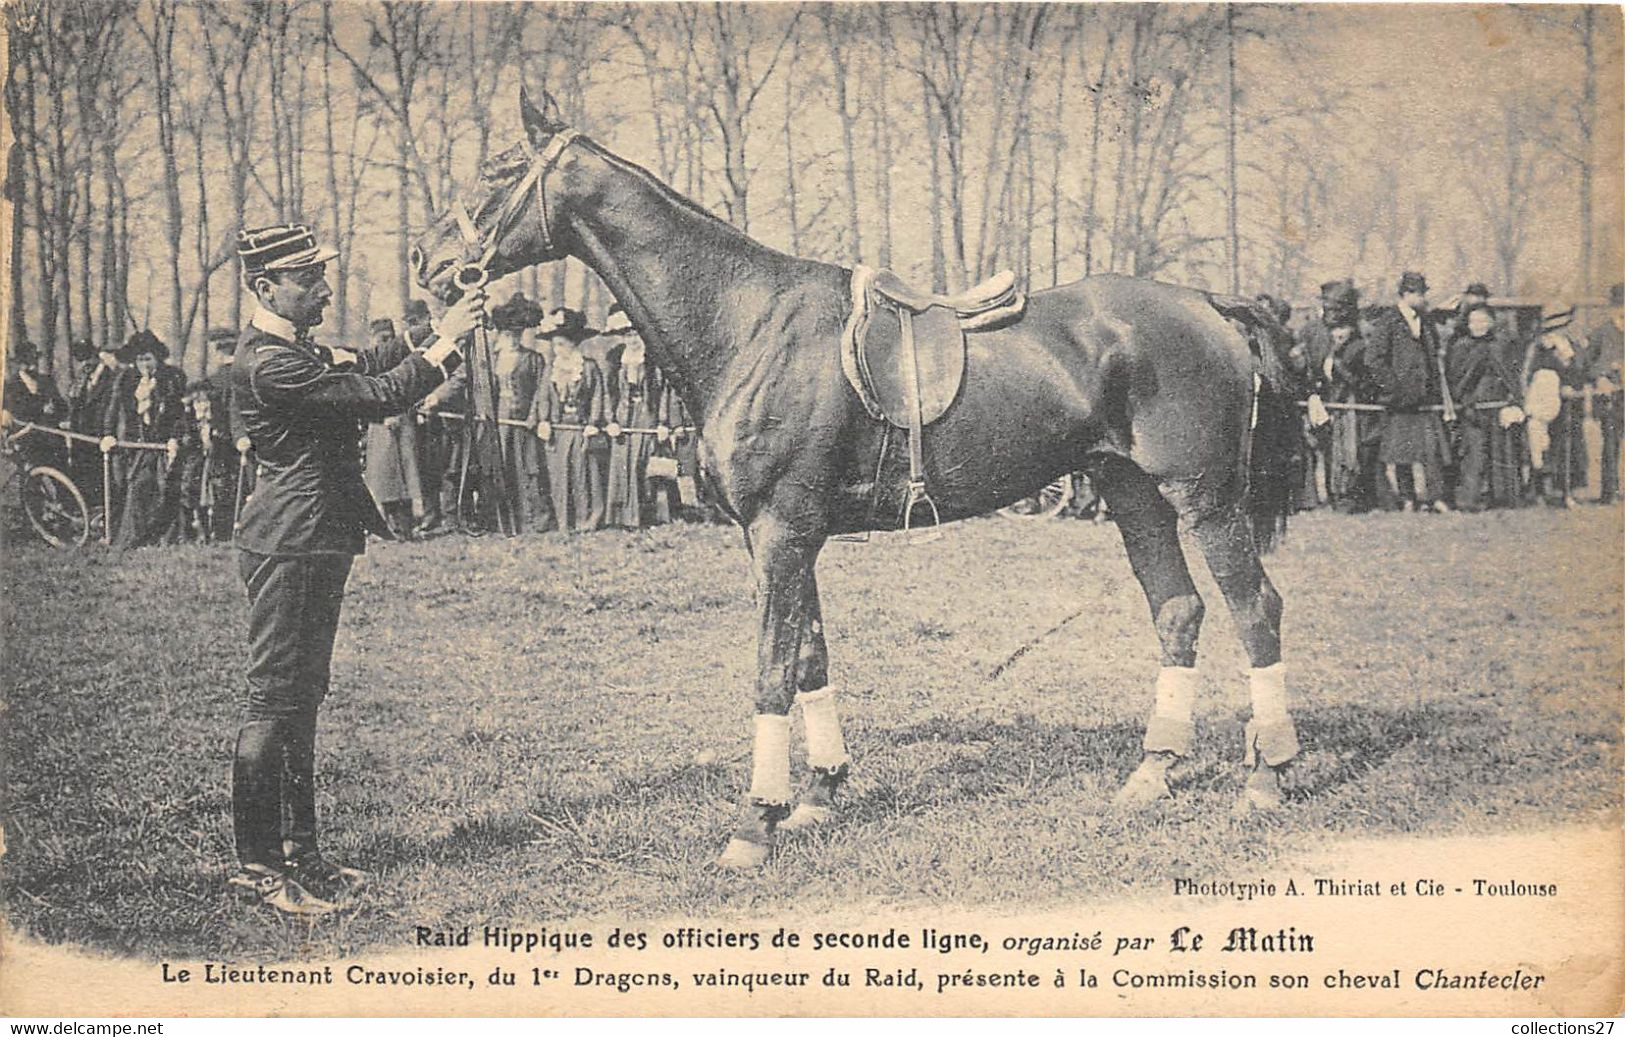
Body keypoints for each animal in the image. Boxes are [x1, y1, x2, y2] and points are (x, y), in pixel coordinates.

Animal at [416, 91, 1306, 871]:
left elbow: (771, 673)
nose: (428, 259)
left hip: (1203, 496)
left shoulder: (780, 532)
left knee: (1254, 609)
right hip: (1130, 494)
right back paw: (1152, 772)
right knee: (1179, 611)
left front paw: (753, 825)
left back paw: (1266, 776)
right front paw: (816, 795)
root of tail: (1209, 302)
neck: (746, 322)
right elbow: (810, 657)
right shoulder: (782, 536)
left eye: (499, 168)